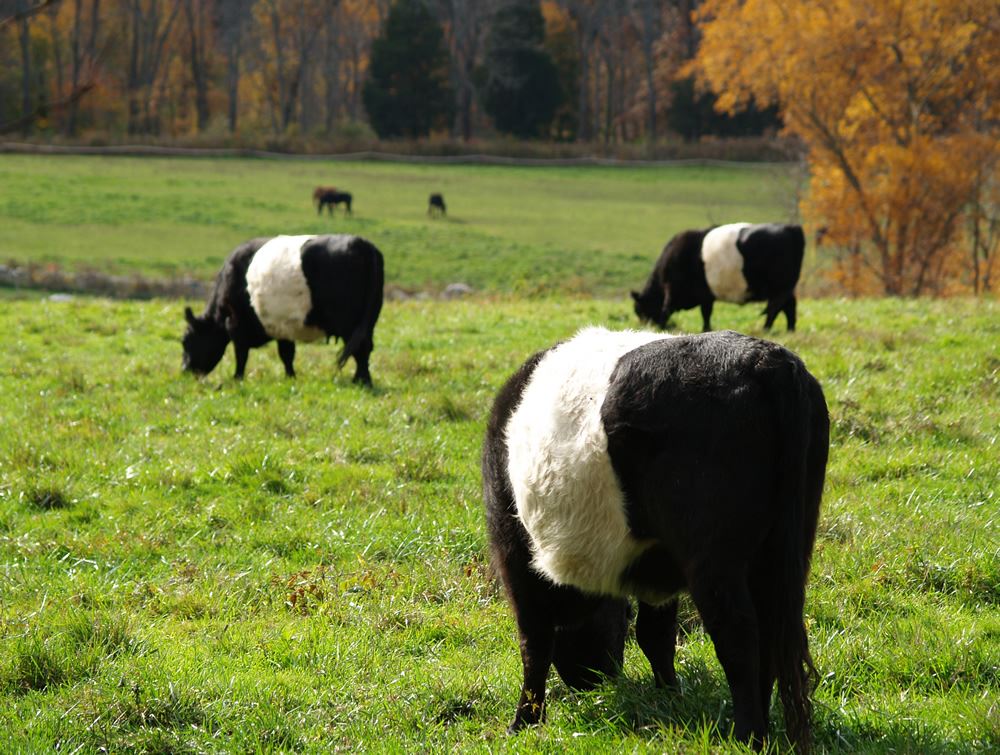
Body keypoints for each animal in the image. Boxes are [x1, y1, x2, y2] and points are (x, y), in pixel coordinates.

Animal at [182, 234, 384, 385]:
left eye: (186, 340)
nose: (184, 371)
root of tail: (362, 244)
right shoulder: (283, 326)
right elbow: (287, 354)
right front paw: (290, 377)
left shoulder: (237, 324)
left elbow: (242, 354)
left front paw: (237, 378)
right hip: (369, 320)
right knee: (365, 348)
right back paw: (362, 380)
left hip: (348, 322)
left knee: (360, 348)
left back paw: (362, 381)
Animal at [483, 326, 828, 751]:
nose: (591, 679)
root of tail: (765, 359)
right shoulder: (658, 568)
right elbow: (656, 636)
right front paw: (671, 699)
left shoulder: (515, 556)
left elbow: (534, 643)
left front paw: (524, 722)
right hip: (782, 550)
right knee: (769, 632)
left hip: (714, 562)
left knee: (739, 636)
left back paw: (748, 735)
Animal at [631, 223, 805, 332]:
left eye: (640, 311)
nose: (645, 327)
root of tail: (791, 228)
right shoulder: (705, 296)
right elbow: (706, 313)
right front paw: (706, 329)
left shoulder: (673, 289)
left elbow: (668, 308)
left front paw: (661, 326)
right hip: (786, 288)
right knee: (789, 306)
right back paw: (790, 330)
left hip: (779, 287)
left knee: (775, 308)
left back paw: (766, 329)